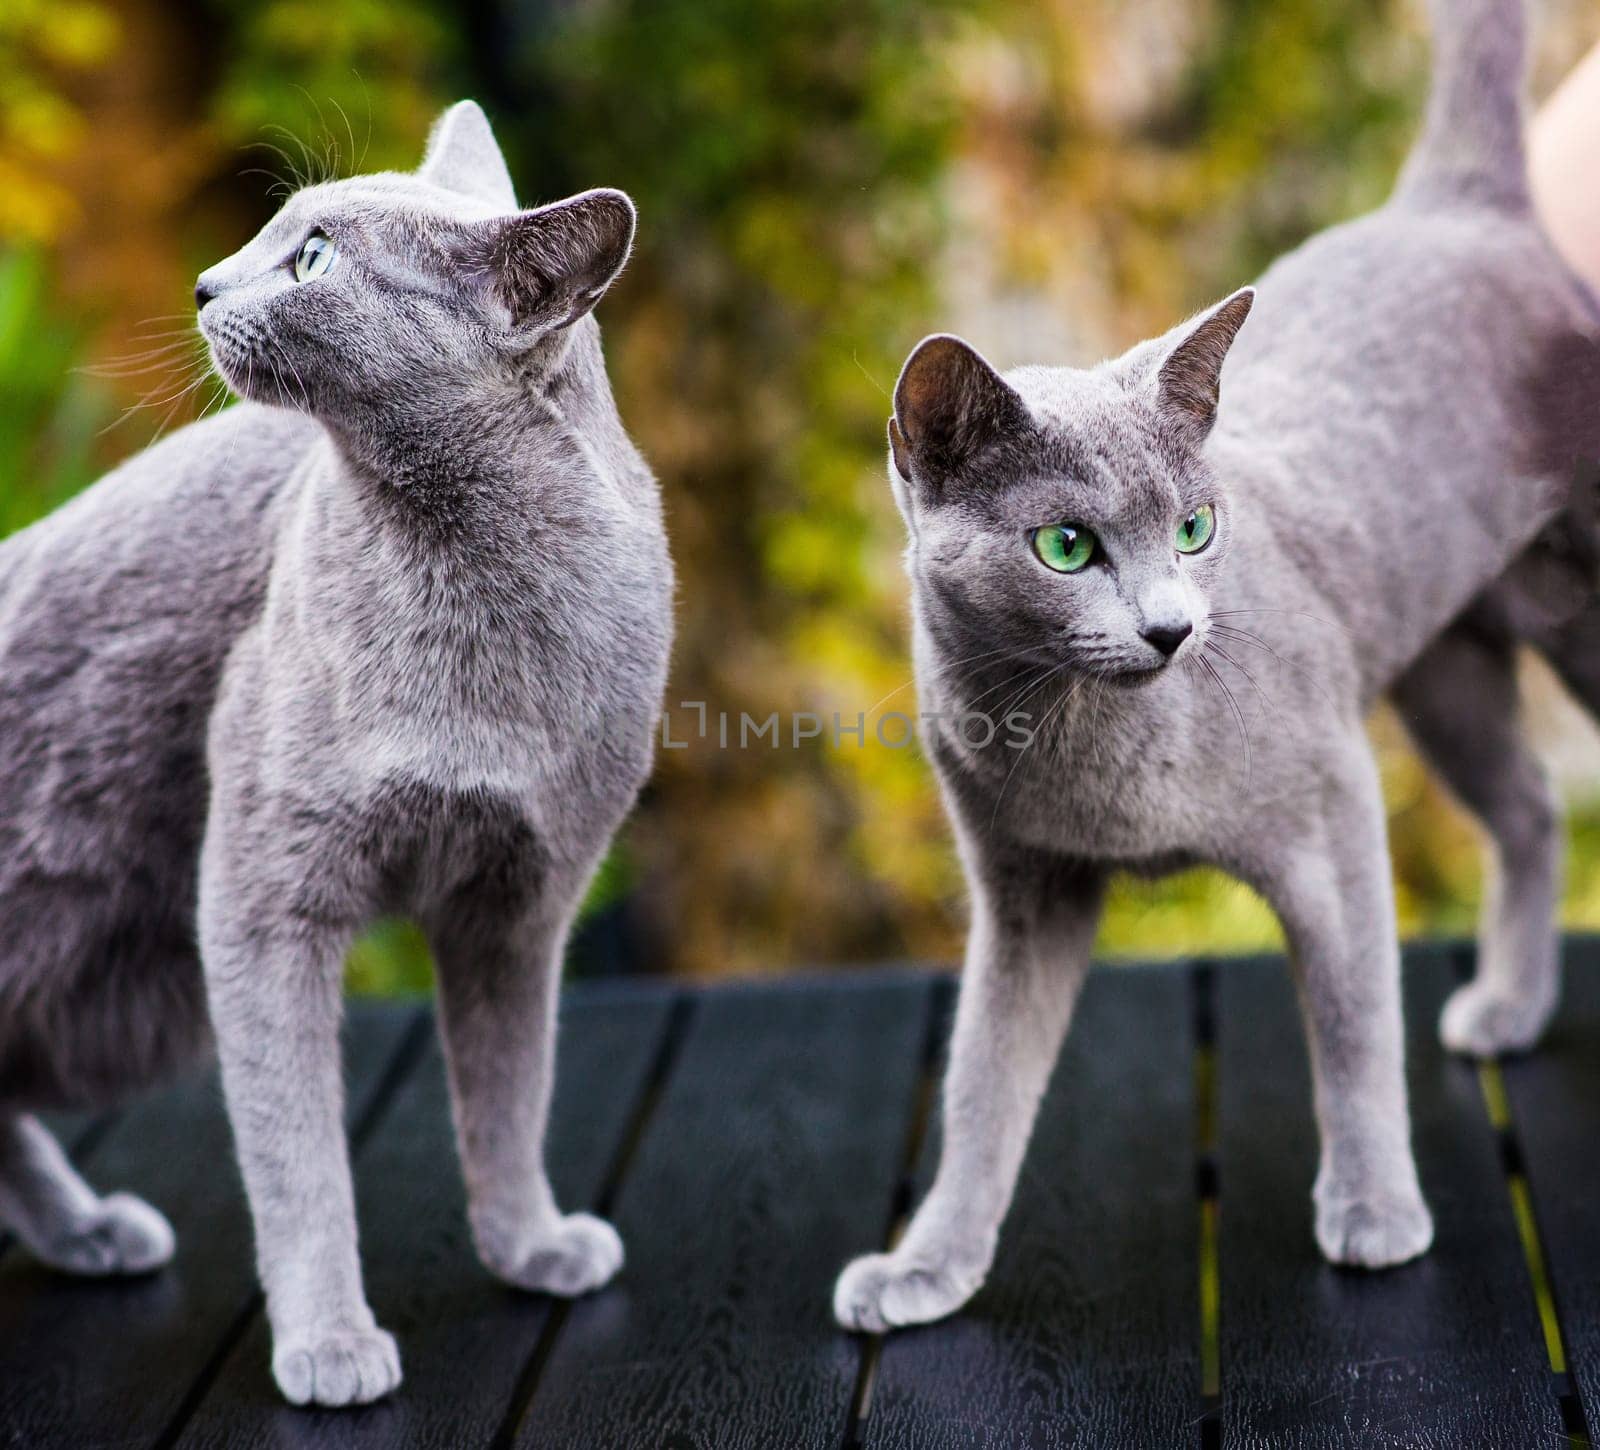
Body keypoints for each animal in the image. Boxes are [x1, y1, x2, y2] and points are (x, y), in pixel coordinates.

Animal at [0, 101, 668, 1401]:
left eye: (314, 257)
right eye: (278, 231)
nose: (206, 284)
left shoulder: (522, 900)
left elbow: (510, 1092)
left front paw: (532, 1244)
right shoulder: (262, 896)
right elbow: (296, 1149)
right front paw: (329, 1342)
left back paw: (89, 1229)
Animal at [832, 0, 1600, 1331]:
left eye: (1193, 526)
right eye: (1066, 545)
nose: (1170, 629)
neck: (1080, 742)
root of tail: (1457, 201)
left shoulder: (1334, 810)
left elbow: (1353, 1026)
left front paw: (1375, 1213)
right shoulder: (1023, 889)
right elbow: (981, 1081)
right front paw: (927, 1264)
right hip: (1442, 670)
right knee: (1529, 805)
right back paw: (1508, 1007)